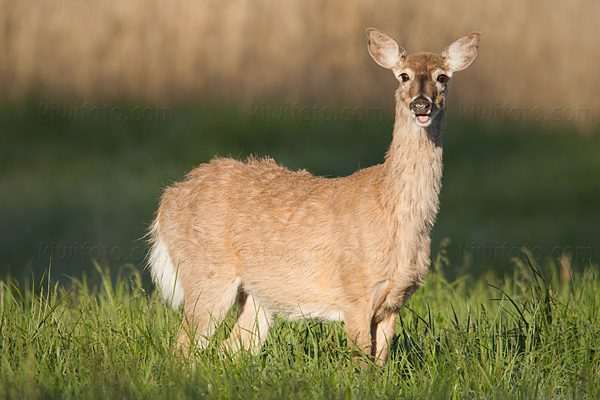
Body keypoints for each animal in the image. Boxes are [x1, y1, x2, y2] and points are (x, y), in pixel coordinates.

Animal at [148, 27, 480, 366]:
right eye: (403, 76)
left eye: (442, 77)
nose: (421, 105)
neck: (393, 212)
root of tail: (167, 202)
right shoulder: (354, 292)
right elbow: (360, 361)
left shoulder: (394, 302)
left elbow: (380, 363)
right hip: (206, 273)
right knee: (184, 347)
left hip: (258, 294)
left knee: (232, 347)